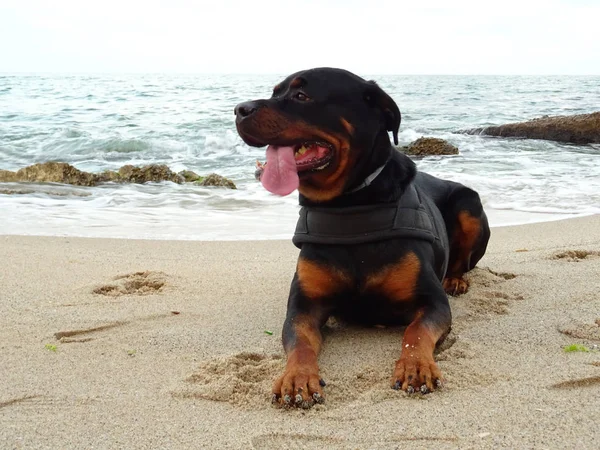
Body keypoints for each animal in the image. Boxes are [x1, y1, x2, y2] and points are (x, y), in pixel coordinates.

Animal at [232, 67, 490, 408]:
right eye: (275, 92)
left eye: (301, 95)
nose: (239, 109)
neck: (349, 205)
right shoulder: (304, 306)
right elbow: (299, 341)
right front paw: (297, 378)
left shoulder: (432, 301)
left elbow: (416, 331)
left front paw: (416, 366)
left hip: (468, 204)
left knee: (462, 260)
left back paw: (456, 279)